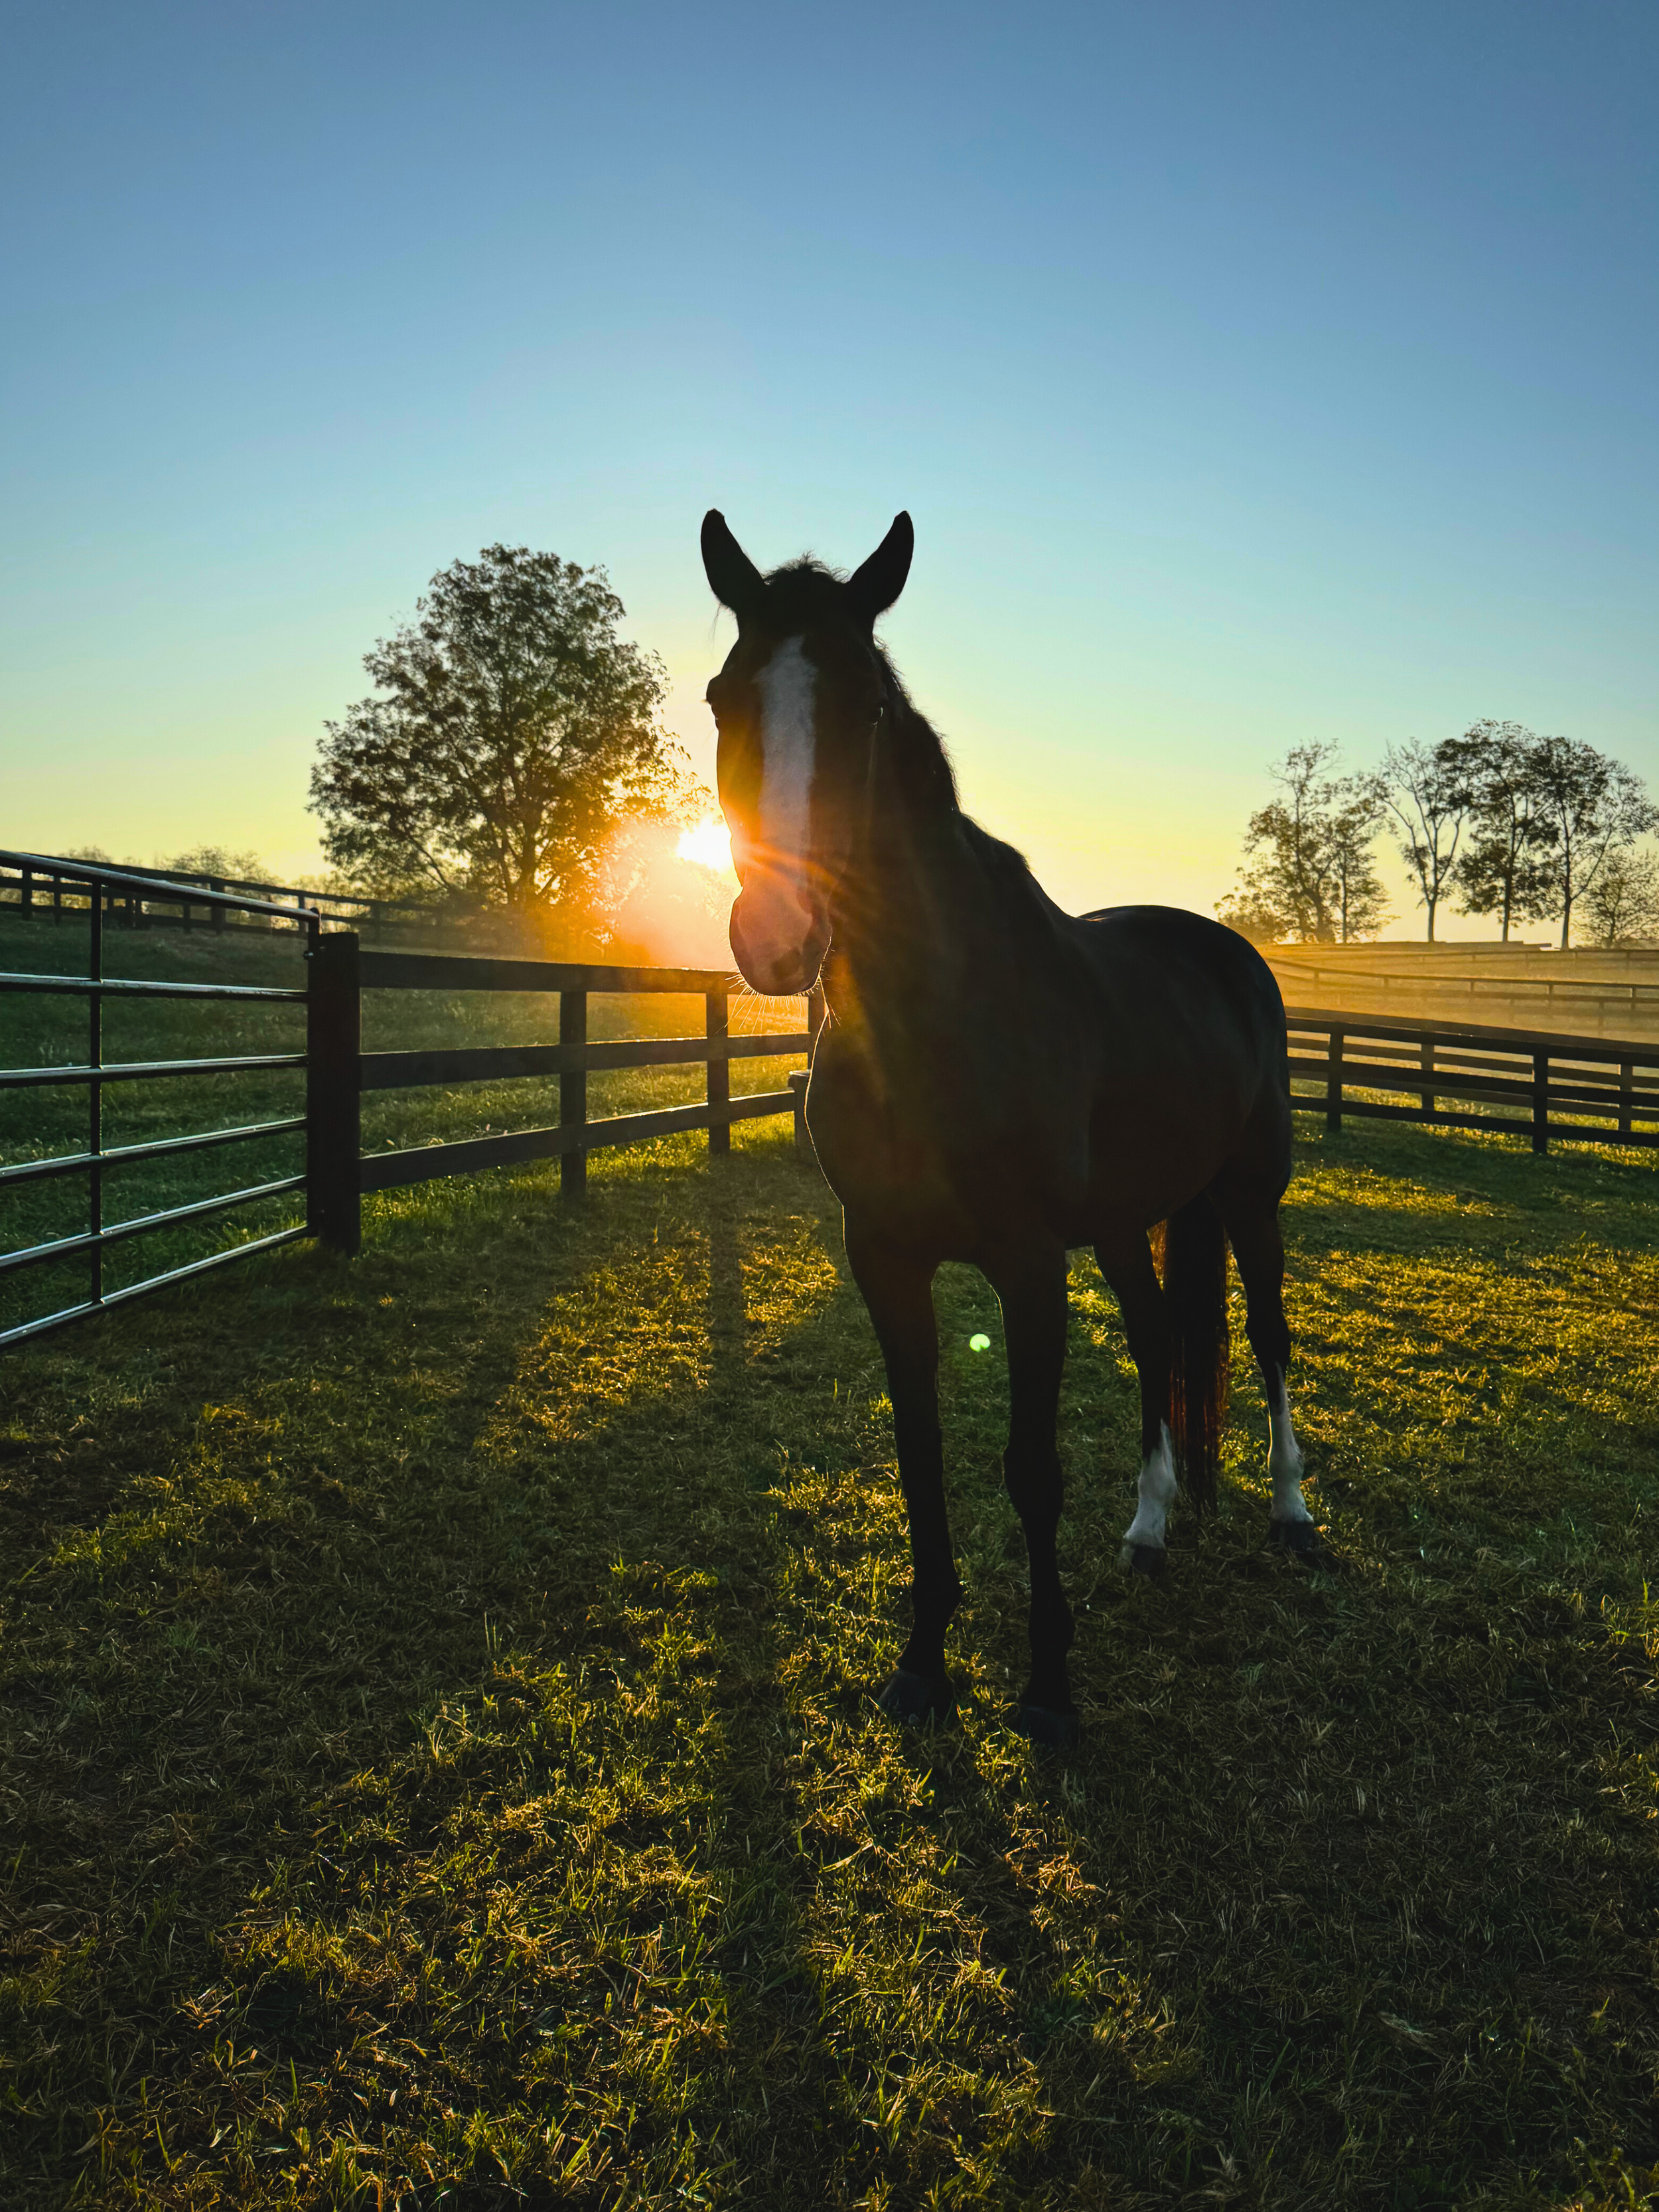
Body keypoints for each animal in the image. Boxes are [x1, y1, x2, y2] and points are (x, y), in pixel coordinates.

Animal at [700, 508, 1318, 1746]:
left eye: (867, 707)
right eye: (720, 698)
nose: (779, 936)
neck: (942, 1010)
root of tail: (1226, 952)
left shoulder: (1029, 1265)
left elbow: (1030, 1467)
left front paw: (1046, 1687)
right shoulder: (884, 1257)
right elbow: (920, 1454)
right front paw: (924, 1666)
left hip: (1248, 1201)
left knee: (1272, 1338)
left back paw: (1289, 1511)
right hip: (1130, 1224)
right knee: (1158, 1339)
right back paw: (1148, 1528)